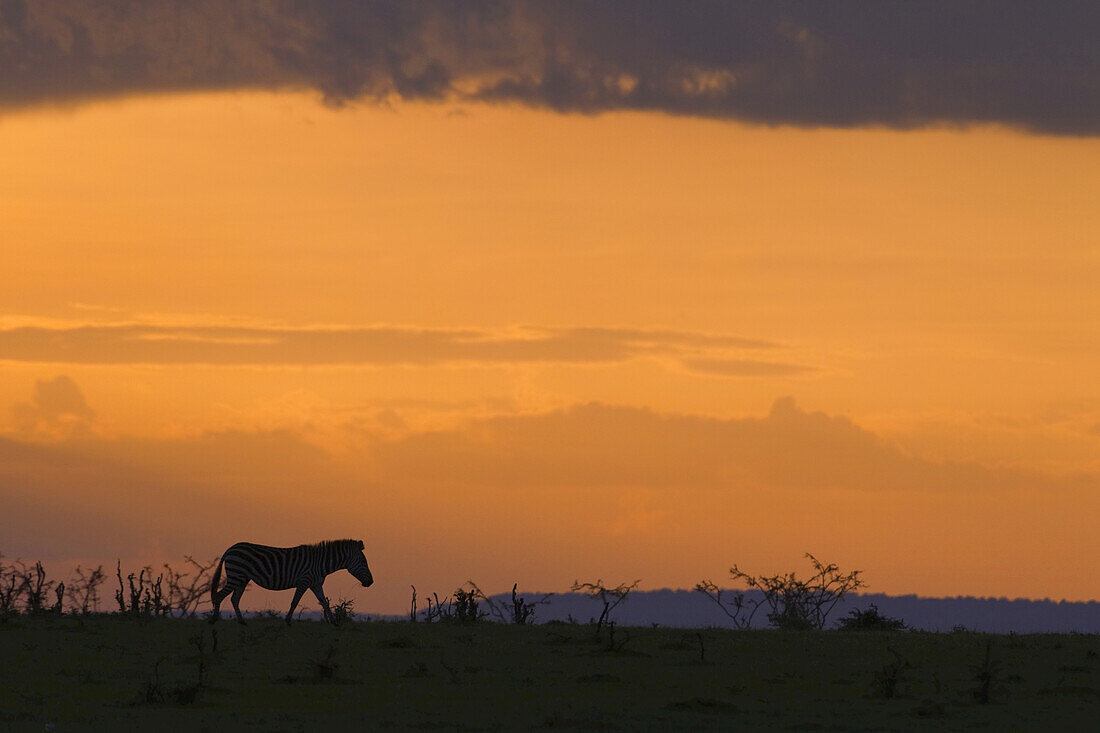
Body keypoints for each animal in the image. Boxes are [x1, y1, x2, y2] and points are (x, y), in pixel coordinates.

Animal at [206, 537, 374, 620]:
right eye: (364, 562)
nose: (371, 582)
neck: (320, 563)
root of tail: (230, 548)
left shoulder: (316, 584)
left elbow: (325, 603)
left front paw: (334, 623)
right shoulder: (304, 581)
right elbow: (294, 602)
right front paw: (287, 621)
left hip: (242, 578)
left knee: (234, 599)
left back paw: (242, 623)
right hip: (236, 575)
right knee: (219, 595)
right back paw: (214, 620)